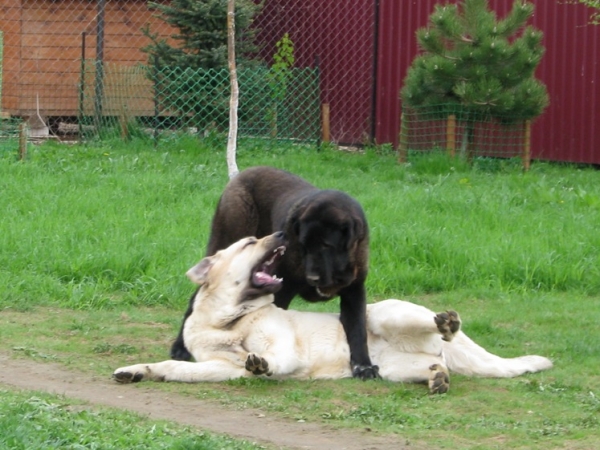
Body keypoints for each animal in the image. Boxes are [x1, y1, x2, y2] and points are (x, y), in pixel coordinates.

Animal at [113, 234, 552, 392]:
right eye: (251, 242)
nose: (281, 234)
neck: (228, 322)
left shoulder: (282, 348)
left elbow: (270, 357)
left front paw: (262, 363)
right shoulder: (219, 366)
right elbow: (176, 367)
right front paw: (138, 371)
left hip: (383, 314)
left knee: (435, 323)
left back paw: (446, 322)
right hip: (393, 369)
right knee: (436, 365)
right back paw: (437, 377)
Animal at [171, 167, 380, 378]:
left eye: (326, 245)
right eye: (304, 245)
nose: (312, 278)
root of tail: (241, 174)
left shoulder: (354, 291)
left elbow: (357, 330)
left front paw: (363, 366)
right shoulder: (283, 290)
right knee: (197, 295)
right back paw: (180, 348)